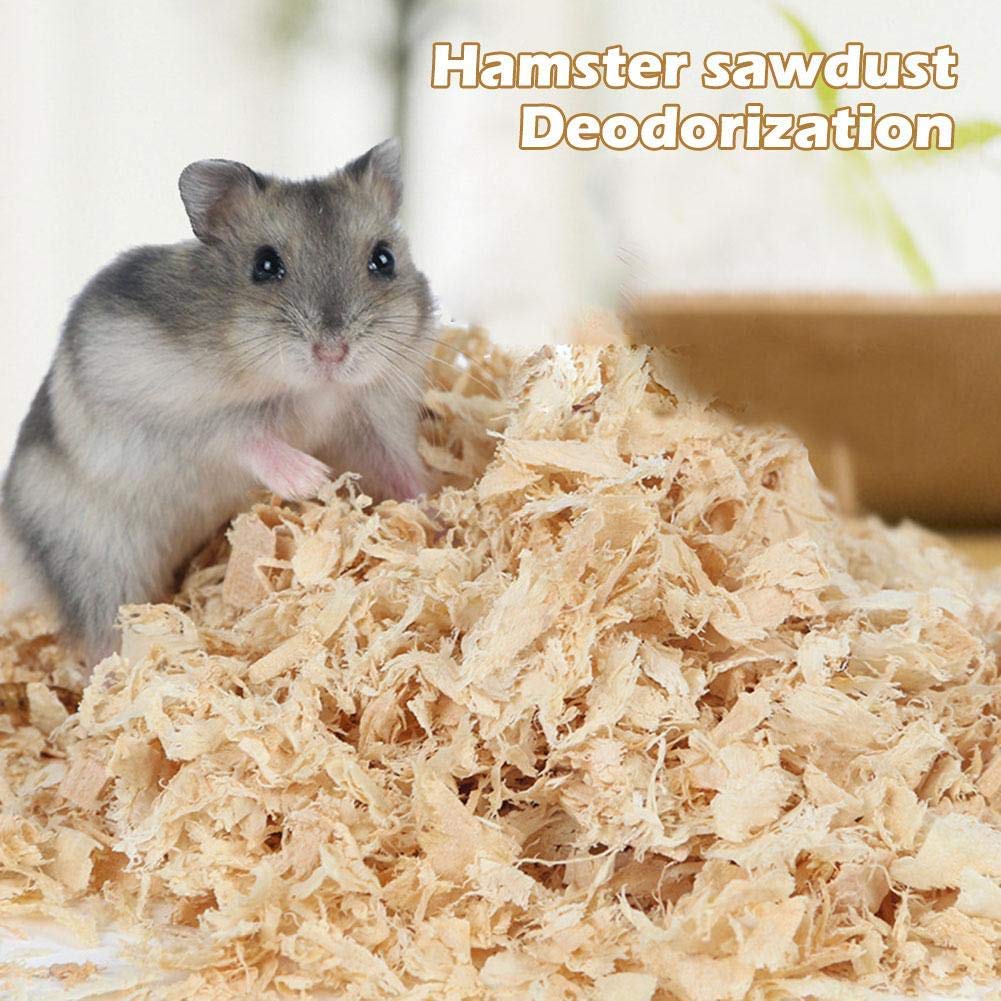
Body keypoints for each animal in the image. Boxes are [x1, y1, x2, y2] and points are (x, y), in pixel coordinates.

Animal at [0, 139, 434, 663]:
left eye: (384, 260)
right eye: (265, 265)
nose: (332, 353)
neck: (316, 390)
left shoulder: (373, 422)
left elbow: (401, 472)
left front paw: (436, 516)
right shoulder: (163, 411)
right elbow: (241, 436)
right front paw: (310, 478)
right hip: (96, 561)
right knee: (101, 642)